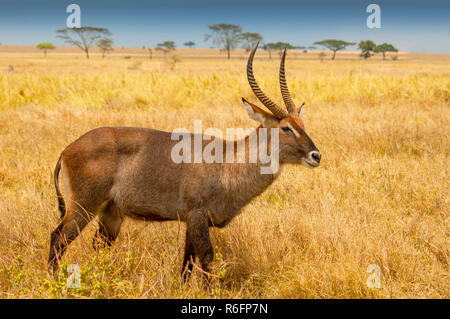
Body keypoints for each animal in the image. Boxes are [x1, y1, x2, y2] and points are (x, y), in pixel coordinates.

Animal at [48, 43, 320, 280]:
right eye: (286, 128)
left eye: (302, 124)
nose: (315, 155)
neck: (228, 160)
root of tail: (67, 150)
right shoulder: (198, 215)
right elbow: (207, 258)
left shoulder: (192, 221)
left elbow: (187, 261)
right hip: (84, 206)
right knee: (58, 237)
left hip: (110, 214)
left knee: (98, 247)